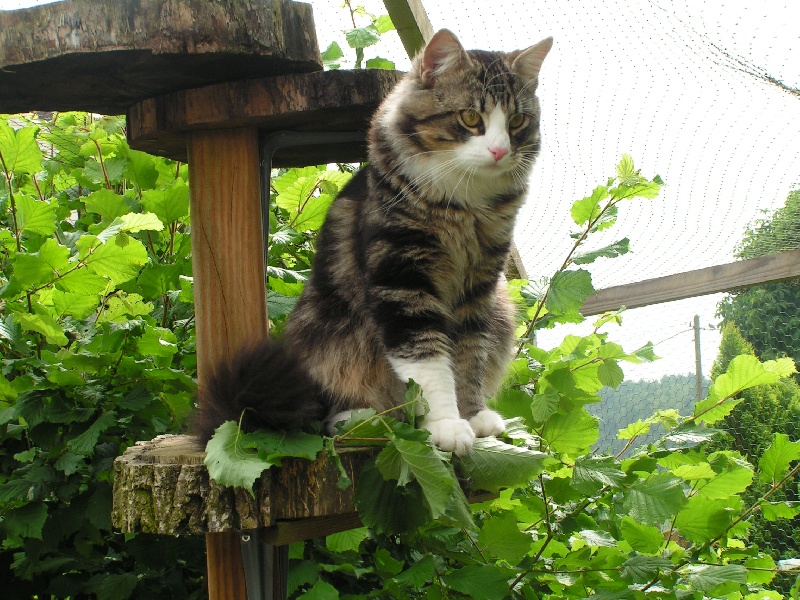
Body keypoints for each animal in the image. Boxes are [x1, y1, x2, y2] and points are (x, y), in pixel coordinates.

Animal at [195, 29, 552, 454]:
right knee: (333, 411)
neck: (466, 205)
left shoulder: (478, 287)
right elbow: (430, 362)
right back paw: (361, 417)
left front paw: (473, 415)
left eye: (517, 121)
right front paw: (447, 425)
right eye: (470, 118)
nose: (500, 151)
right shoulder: (402, 280)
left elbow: (468, 357)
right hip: (329, 338)